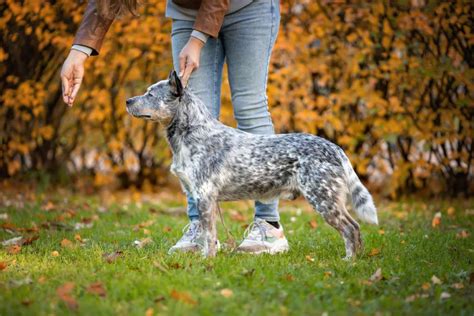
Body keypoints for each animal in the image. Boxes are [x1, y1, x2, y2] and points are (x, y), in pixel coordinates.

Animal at [126, 70, 378, 258]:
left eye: (150, 94)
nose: (127, 100)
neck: (193, 133)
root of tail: (336, 148)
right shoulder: (199, 195)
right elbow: (206, 234)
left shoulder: (205, 196)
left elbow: (209, 236)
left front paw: (207, 262)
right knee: (355, 227)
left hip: (323, 198)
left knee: (350, 228)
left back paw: (349, 260)